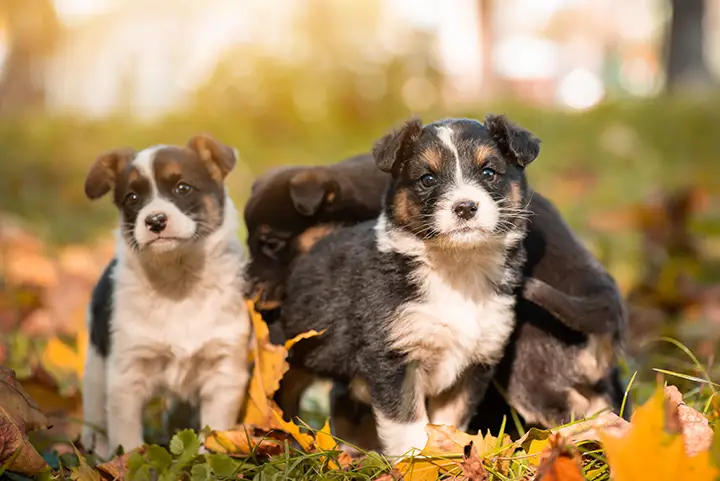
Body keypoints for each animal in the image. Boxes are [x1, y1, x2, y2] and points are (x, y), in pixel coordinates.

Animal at [79, 135, 250, 458]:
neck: (177, 284)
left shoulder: (223, 372)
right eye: (132, 198)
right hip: (96, 365)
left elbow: (214, 431)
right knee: (94, 412)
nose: (155, 220)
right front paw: (126, 462)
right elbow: (127, 440)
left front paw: (206, 459)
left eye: (183, 188)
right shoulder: (126, 376)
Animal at [278, 115, 536, 454]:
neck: (457, 268)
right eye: (427, 179)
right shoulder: (394, 356)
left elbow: (449, 421)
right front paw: (416, 460)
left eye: (488, 172)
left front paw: (448, 456)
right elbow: (408, 424)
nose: (465, 207)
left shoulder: (475, 361)